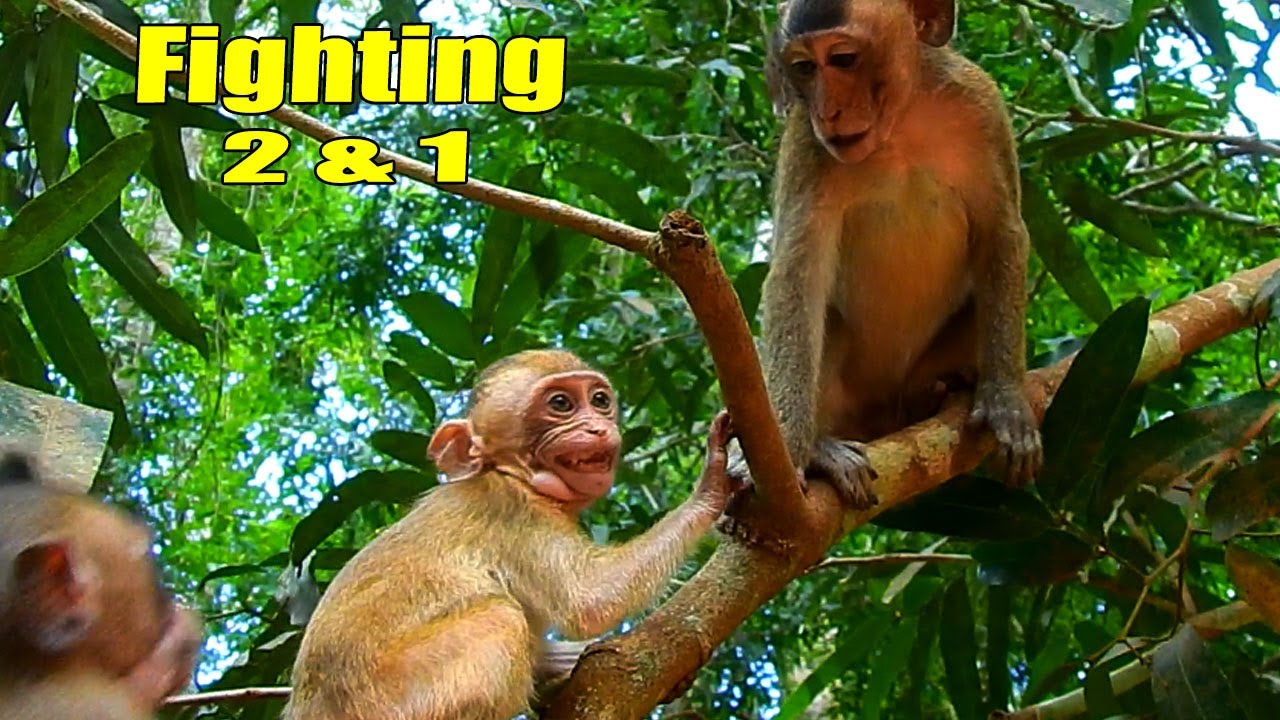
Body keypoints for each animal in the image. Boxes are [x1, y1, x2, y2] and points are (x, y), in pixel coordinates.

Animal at [286, 349, 741, 720]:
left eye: (599, 400)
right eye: (560, 404)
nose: (597, 427)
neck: (513, 476)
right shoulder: (516, 515)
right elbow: (589, 599)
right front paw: (712, 482)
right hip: (392, 699)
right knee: (501, 616)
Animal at [744, 0, 1043, 509]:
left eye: (843, 59)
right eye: (804, 68)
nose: (828, 111)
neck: (899, 125)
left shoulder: (980, 106)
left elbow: (1002, 232)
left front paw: (1005, 400)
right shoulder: (806, 144)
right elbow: (797, 275)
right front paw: (792, 449)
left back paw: (938, 392)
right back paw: (823, 447)